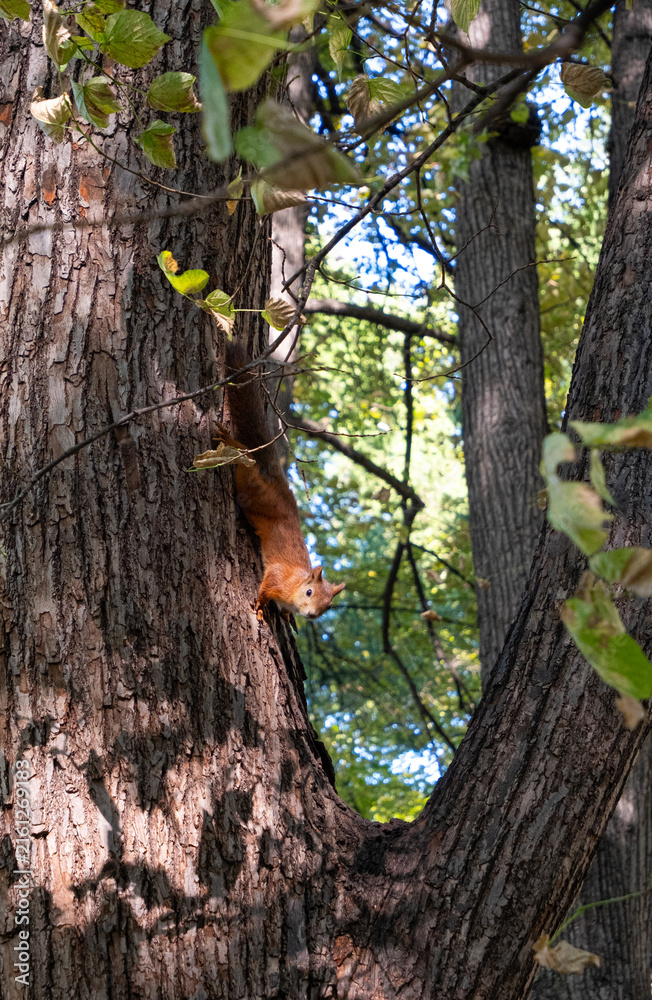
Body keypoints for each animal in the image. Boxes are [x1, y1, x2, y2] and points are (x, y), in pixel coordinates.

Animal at [216, 343, 345, 622]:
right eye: (309, 592)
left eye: (328, 606)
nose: (310, 615)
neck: (295, 586)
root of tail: (281, 487)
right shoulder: (278, 577)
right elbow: (265, 589)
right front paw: (260, 606)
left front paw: (286, 616)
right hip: (254, 493)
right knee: (247, 466)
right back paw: (233, 444)